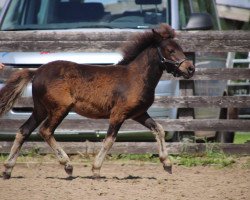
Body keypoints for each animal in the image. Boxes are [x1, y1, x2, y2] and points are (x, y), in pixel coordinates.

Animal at [0, 24, 194, 179]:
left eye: (180, 48)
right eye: (170, 50)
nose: (190, 68)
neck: (136, 77)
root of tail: (37, 72)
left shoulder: (139, 114)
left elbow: (159, 129)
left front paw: (167, 164)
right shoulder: (118, 114)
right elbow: (109, 140)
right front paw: (95, 170)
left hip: (40, 109)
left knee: (23, 130)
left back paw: (8, 169)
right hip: (59, 109)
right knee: (45, 131)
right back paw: (68, 166)